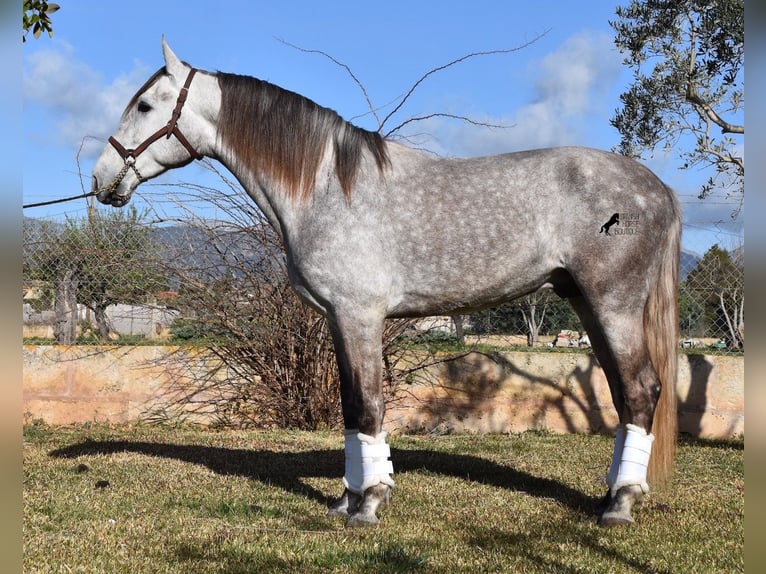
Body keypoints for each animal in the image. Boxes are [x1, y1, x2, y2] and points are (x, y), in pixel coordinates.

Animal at [93, 38, 680, 528]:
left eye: (145, 107)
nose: (100, 179)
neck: (328, 187)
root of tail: (656, 186)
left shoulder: (360, 314)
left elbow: (368, 404)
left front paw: (369, 503)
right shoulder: (338, 319)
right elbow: (352, 406)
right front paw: (347, 498)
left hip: (613, 303)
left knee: (640, 390)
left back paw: (620, 505)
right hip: (585, 302)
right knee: (624, 393)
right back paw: (608, 497)